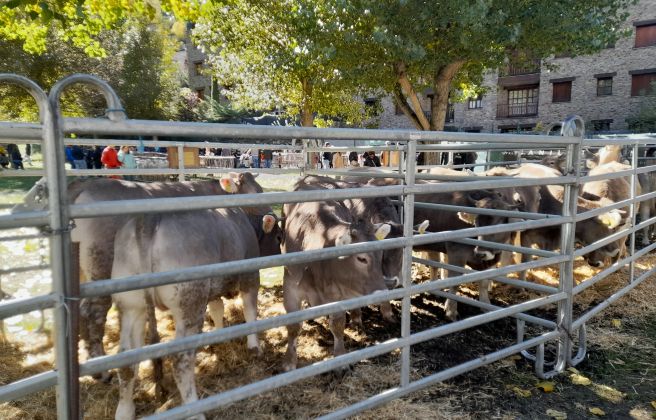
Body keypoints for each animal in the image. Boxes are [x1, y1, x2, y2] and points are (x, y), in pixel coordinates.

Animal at [113, 203, 282, 416]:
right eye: (279, 237)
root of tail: (149, 219)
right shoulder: (249, 275)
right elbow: (250, 311)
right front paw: (254, 347)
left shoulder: (213, 287)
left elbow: (217, 309)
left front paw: (219, 336)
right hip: (189, 304)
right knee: (181, 361)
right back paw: (195, 411)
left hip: (131, 306)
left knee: (126, 361)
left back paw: (124, 411)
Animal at [280, 179, 390, 372]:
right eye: (362, 258)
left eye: (381, 253)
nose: (382, 293)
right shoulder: (290, 287)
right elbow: (293, 326)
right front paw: (289, 360)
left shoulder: (338, 294)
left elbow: (338, 325)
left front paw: (340, 358)